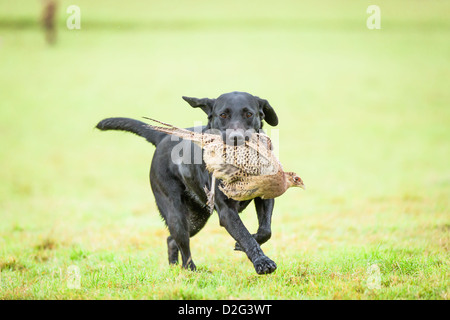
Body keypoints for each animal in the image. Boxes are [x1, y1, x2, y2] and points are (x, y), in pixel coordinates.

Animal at [96, 90, 280, 276]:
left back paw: (174, 267)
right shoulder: (226, 211)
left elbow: (265, 230)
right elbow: (244, 235)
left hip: (197, 217)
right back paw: (191, 270)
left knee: (171, 239)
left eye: (249, 114)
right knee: (182, 245)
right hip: (176, 214)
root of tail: (163, 136)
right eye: (223, 115)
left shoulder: (265, 196)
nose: (236, 138)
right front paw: (262, 262)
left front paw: (247, 244)